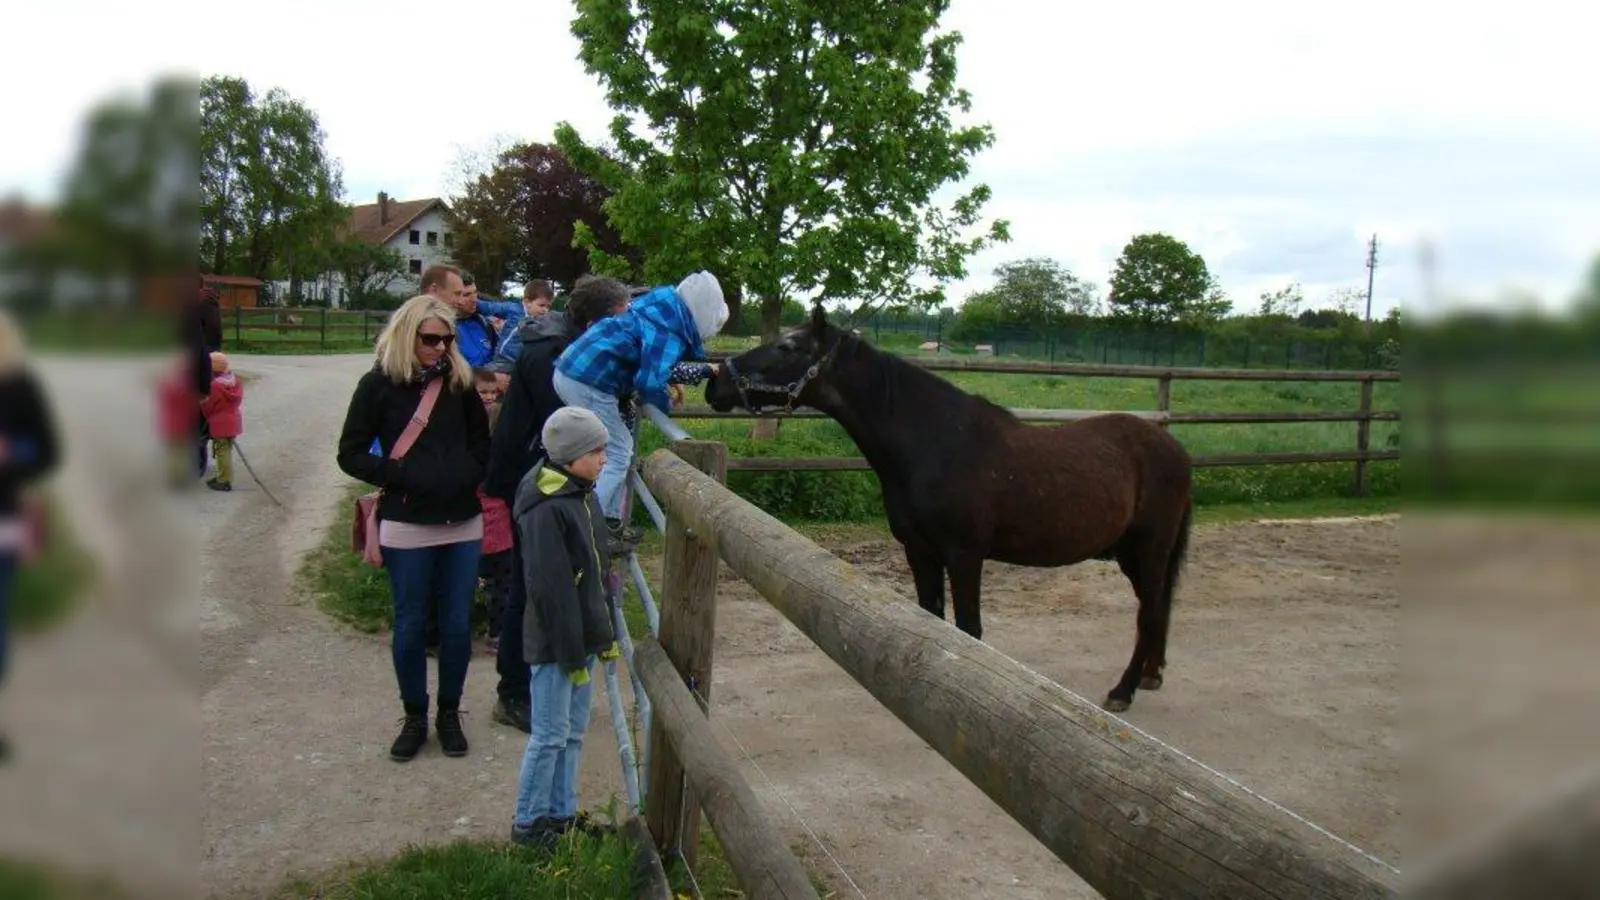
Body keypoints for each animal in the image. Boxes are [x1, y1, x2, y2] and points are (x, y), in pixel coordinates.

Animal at [704, 305, 1194, 712]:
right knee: (1158, 609)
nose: (715, 383)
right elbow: (931, 618)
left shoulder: (964, 556)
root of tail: (1174, 448)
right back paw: (1150, 676)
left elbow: (968, 631)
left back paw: (1123, 690)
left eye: (788, 346)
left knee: (1149, 612)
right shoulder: (919, 552)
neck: (936, 442)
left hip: (1147, 551)